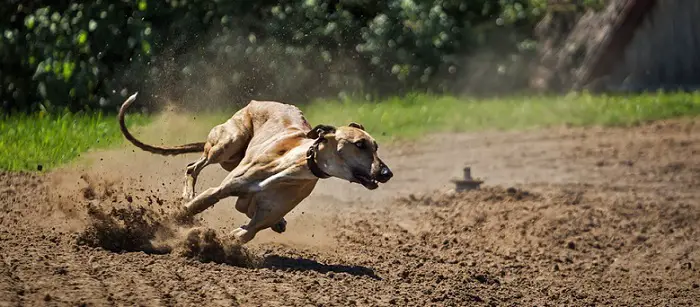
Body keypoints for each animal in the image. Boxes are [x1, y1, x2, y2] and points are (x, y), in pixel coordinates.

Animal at [119, 92, 394, 244]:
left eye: (376, 146)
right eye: (360, 144)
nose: (386, 174)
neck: (292, 166)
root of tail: (257, 101)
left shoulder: (261, 217)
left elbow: (246, 232)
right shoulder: (220, 190)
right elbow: (195, 205)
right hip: (228, 143)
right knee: (192, 167)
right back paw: (187, 194)